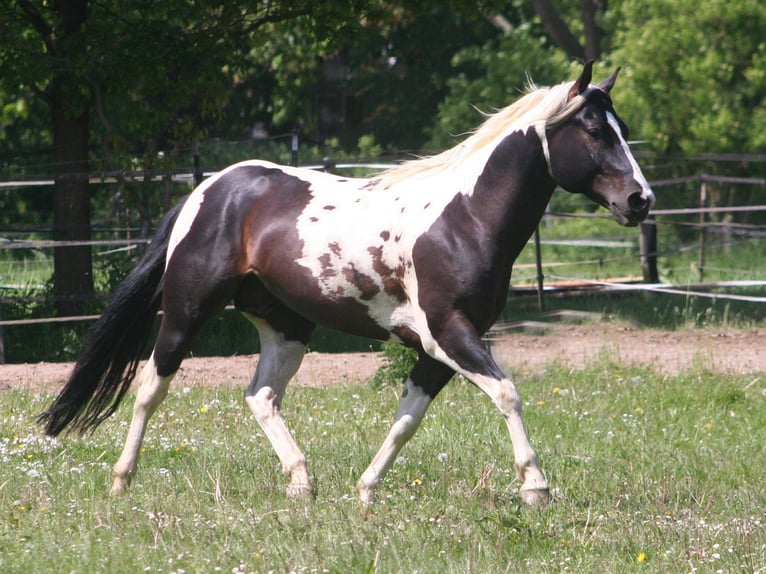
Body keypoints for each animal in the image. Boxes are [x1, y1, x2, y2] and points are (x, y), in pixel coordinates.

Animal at [39, 61, 654, 505]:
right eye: (593, 130)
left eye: (623, 130)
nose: (640, 200)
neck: (465, 218)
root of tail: (209, 188)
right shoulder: (450, 334)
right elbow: (506, 392)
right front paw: (536, 487)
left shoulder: (440, 348)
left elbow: (408, 417)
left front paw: (365, 490)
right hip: (187, 312)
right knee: (151, 386)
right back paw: (122, 480)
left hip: (287, 326)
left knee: (260, 395)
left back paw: (301, 482)